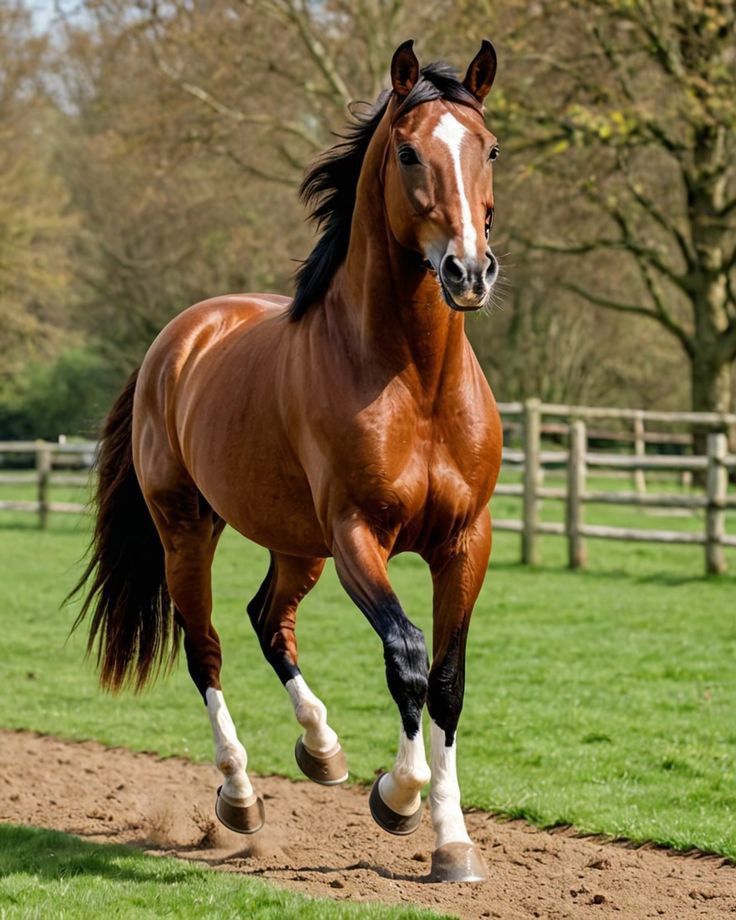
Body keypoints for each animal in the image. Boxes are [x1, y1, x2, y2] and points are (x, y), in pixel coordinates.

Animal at [71, 38, 503, 883]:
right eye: (409, 152)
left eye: (490, 148)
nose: (469, 272)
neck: (415, 383)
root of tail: (176, 340)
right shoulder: (358, 536)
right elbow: (406, 655)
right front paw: (397, 798)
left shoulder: (466, 542)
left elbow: (447, 679)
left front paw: (453, 843)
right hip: (189, 532)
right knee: (205, 646)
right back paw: (240, 798)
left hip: (295, 543)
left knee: (269, 620)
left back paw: (322, 751)